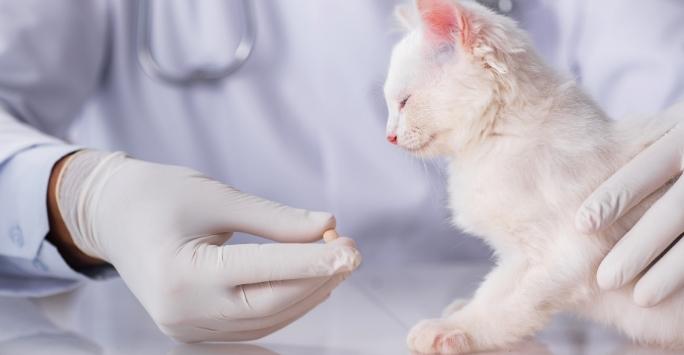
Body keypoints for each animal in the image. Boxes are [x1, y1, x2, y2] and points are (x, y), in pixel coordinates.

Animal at [384, 1, 684, 354]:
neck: (500, 137)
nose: (389, 136)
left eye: (404, 102)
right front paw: (459, 310)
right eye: (391, 104)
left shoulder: (556, 255)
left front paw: (455, 328)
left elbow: (500, 302)